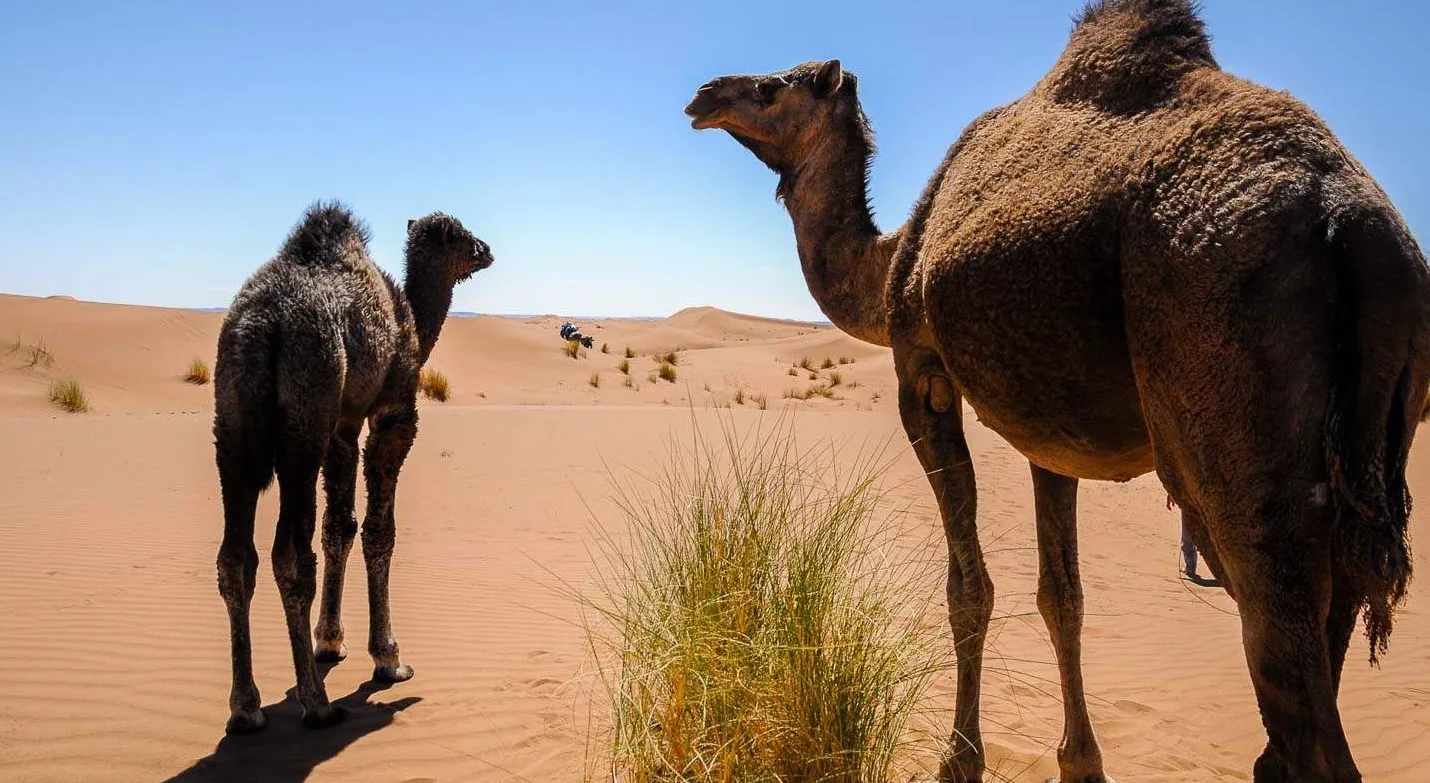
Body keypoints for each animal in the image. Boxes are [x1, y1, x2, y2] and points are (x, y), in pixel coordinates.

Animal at [213, 202, 492, 733]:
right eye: (461, 234)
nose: (486, 250)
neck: (410, 322)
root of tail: (262, 325)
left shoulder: (342, 427)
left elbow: (337, 526)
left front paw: (329, 640)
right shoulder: (392, 412)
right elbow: (378, 530)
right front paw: (388, 658)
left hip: (232, 423)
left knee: (236, 557)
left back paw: (245, 707)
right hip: (307, 410)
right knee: (289, 555)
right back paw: (316, 703)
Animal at [685, 1, 1429, 781]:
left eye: (770, 88)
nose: (703, 95)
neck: (892, 262)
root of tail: (1352, 223)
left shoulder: (921, 373)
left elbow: (969, 590)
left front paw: (960, 760)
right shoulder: (1052, 433)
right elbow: (1061, 595)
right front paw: (1081, 760)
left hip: (1226, 403)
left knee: (1288, 663)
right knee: (1330, 625)